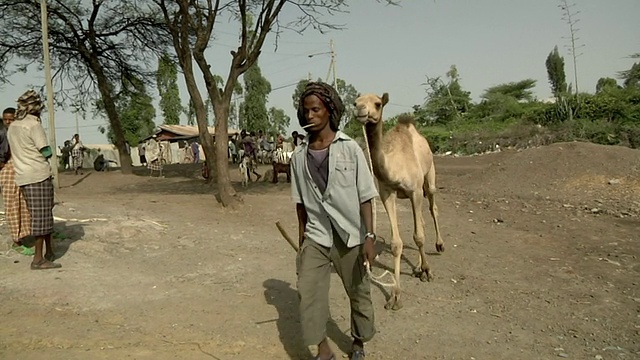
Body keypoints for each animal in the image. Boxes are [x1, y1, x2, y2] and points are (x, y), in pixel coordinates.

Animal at [352, 93, 442, 310]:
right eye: (355, 101)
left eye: (377, 104)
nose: (360, 110)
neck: (395, 167)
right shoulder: (387, 193)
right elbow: (396, 243)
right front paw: (395, 296)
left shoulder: (415, 190)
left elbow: (418, 237)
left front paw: (428, 270)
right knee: (422, 221)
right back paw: (417, 266)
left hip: (429, 175)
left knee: (432, 207)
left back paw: (438, 247)